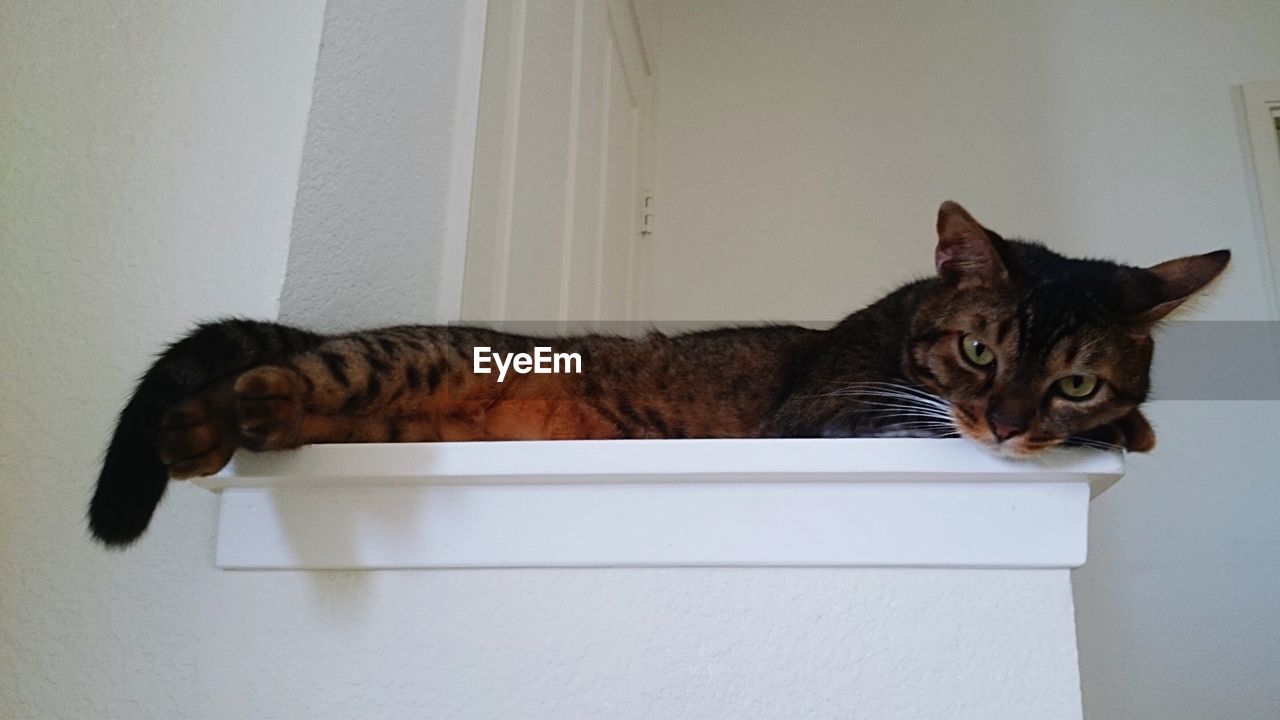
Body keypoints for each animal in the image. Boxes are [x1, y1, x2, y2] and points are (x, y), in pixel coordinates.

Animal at [90, 202, 1228, 543]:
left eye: (1074, 380)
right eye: (979, 352)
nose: (1007, 425)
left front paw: (1127, 426)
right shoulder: (821, 415)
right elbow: (913, 418)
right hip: (397, 357)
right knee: (279, 373)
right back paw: (209, 421)